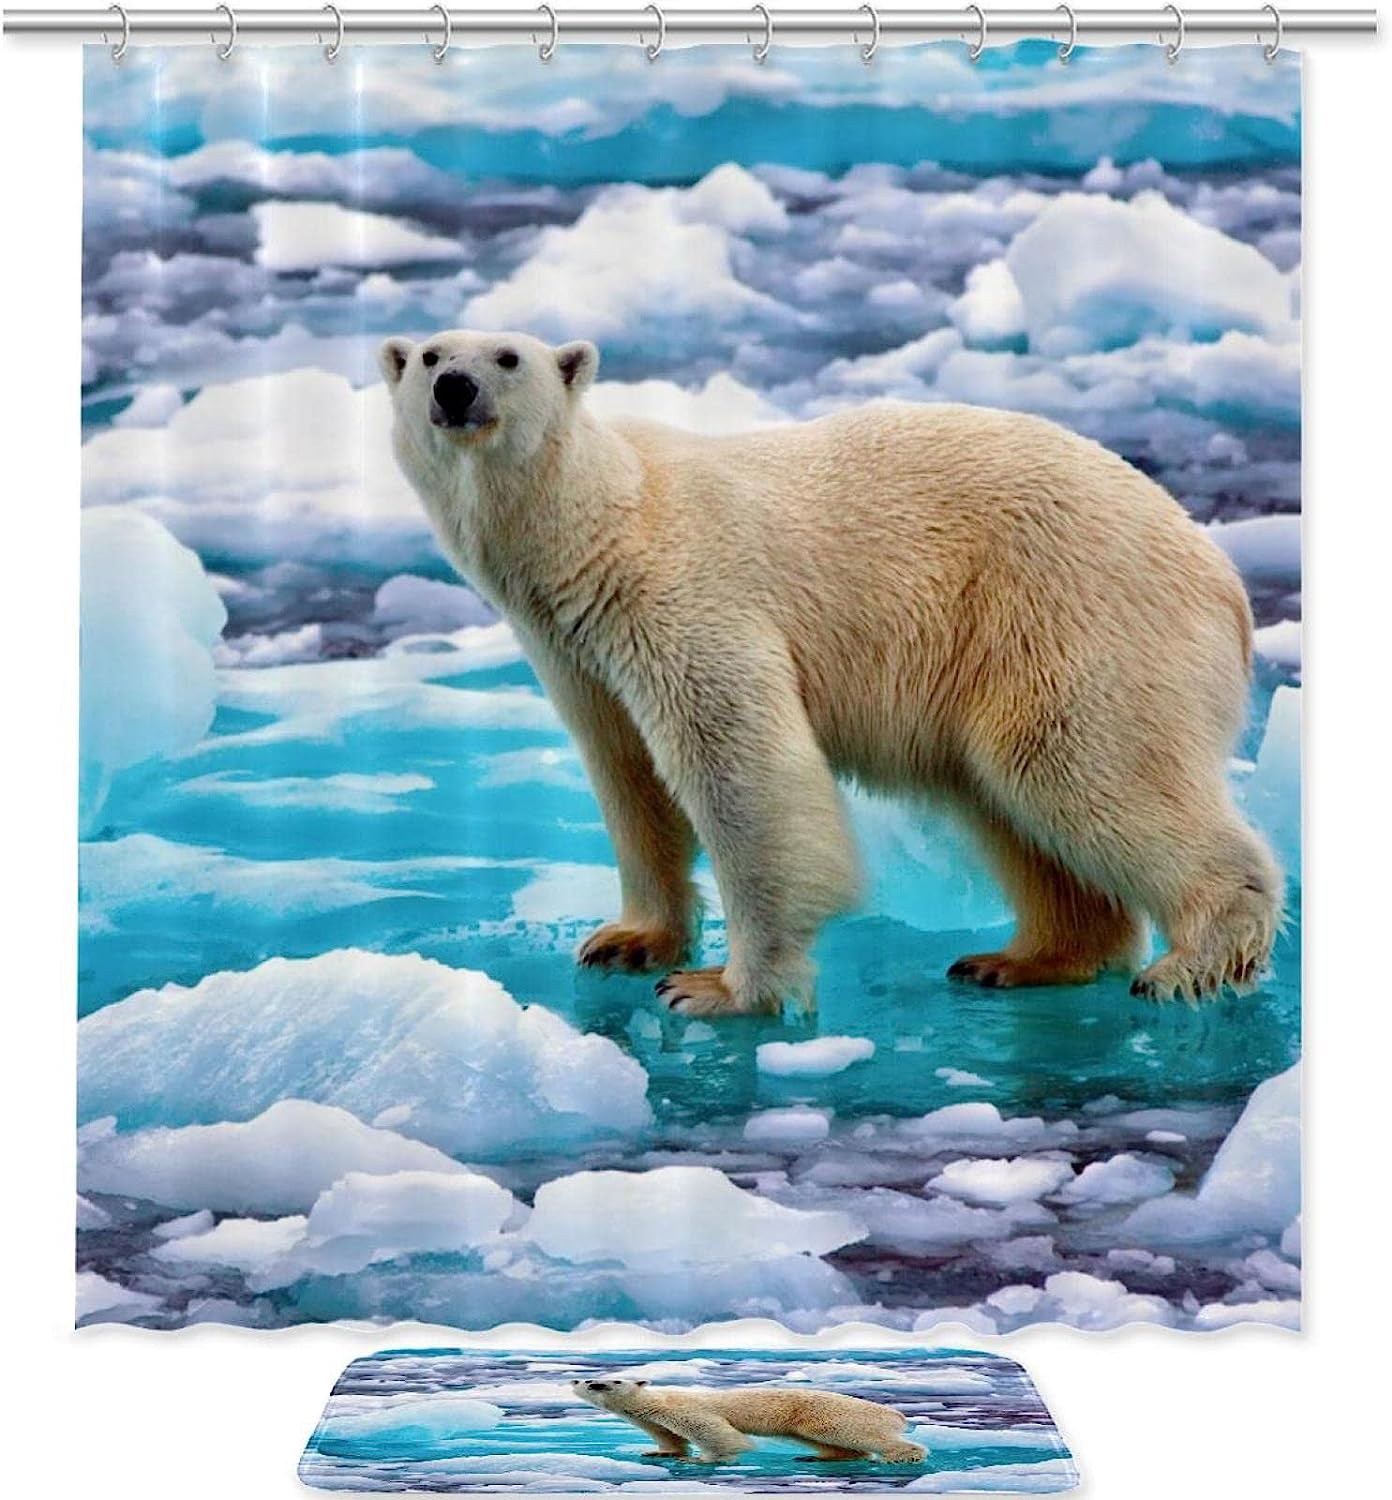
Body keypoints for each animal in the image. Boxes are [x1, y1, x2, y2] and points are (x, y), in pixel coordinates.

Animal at [380, 328, 1281, 1016]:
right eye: (428, 354)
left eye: (508, 356)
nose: (454, 387)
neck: (602, 523)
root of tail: (1223, 579)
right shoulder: (578, 652)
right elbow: (628, 778)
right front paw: (625, 939)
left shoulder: (684, 595)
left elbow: (744, 770)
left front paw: (721, 988)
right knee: (1011, 803)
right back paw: (1019, 958)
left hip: (1073, 616)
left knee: (1080, 765)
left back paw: (1190, 962)